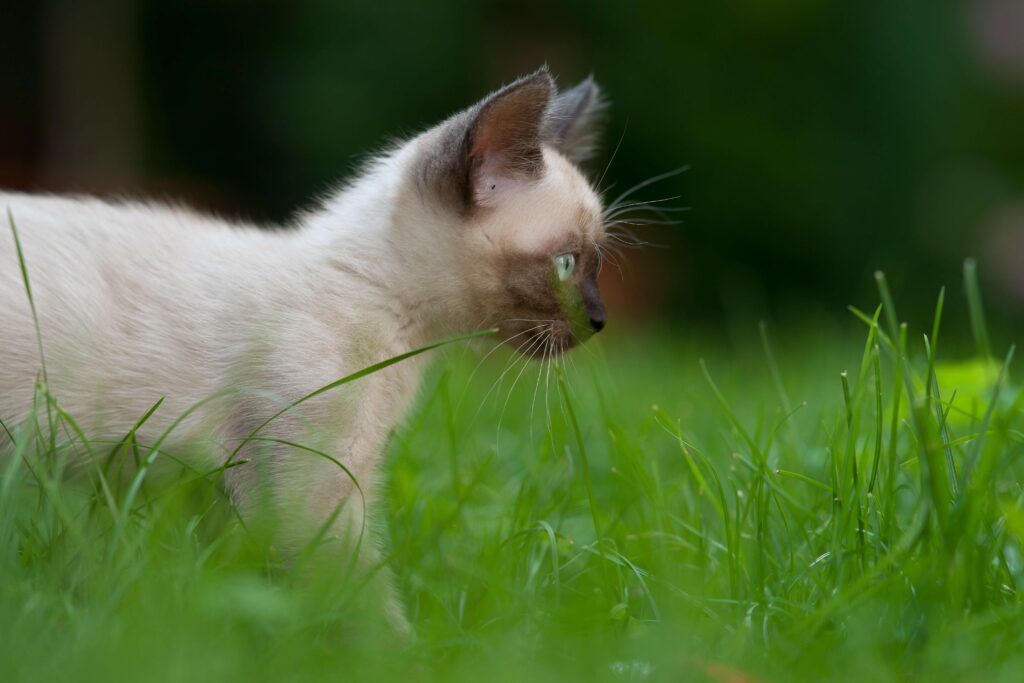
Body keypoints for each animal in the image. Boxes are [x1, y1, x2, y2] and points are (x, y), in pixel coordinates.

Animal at [0, 66, 606, 634]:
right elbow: (361, 601)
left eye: (596, 263)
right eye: (567, 264)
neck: (401, 329)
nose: (600, 321)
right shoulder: (310, 485)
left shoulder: (231, 487)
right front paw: (409, 656)